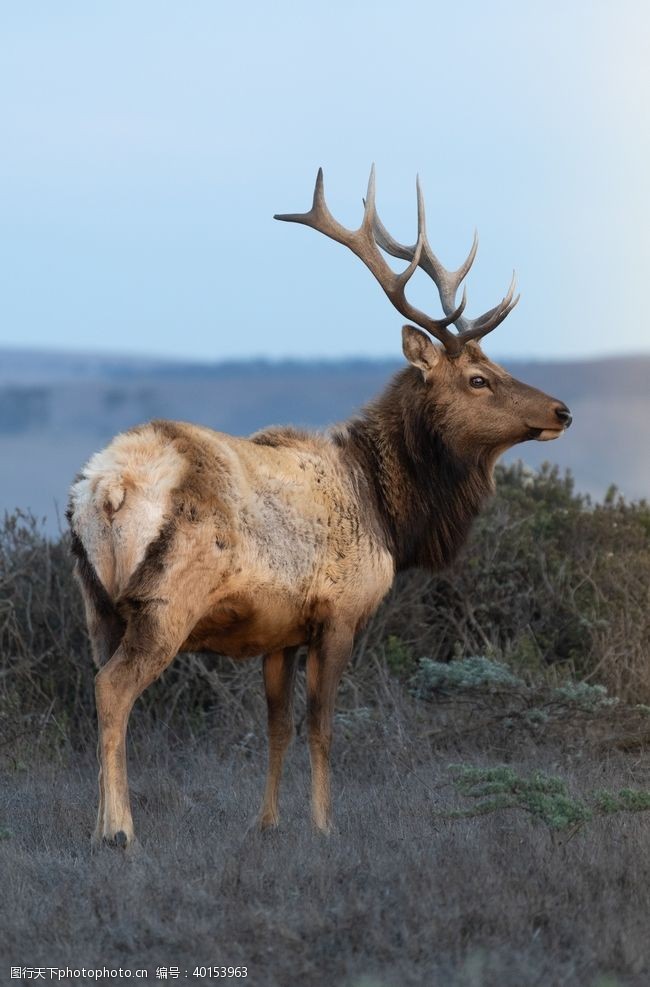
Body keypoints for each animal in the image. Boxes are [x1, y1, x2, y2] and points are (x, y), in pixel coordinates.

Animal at [68, 170, 568, 848]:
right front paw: (325, 826)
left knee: (96, 686)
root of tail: (105, 489)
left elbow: (277, 725)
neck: (390, 512)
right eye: (478, 379)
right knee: (115, 689)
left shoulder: (279, 630)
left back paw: (100, 823)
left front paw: (268, 822)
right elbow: (322, 727)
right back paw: (119, 832)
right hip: (164, 602)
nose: (562, 410)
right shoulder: (340, 613)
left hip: (96, 604)